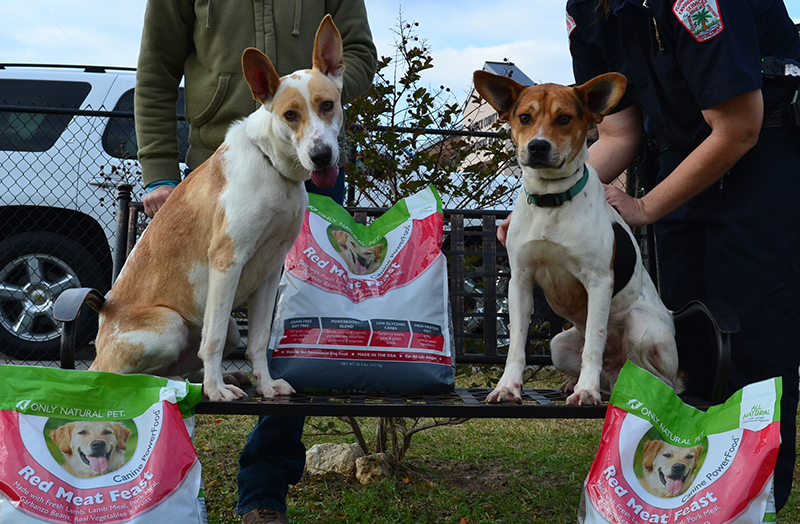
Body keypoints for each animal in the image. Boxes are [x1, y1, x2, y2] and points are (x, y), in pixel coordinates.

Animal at [91, 16, 346, 402]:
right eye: (290, 115)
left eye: (327, 105)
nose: (321, 156)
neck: (274, 169)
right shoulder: (228, 260)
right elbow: (209, 343)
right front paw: (216, 390)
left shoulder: (270, 269)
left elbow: (258, 341)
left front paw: (265, 385)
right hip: (171, 324)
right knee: (128, 378)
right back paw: (198, 385)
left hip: (230, 330)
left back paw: (221, 377)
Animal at [476, 69, 680, 406]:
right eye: (524, 117)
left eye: (564, 119)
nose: (538, 147)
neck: (551, 201)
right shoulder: (520, 281)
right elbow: (517, 345)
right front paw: (507, 387)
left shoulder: (598, 281)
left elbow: (593, 345)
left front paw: (586, 390)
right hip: (558, 345)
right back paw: (576, 382)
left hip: (642, 327)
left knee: (665, 382)